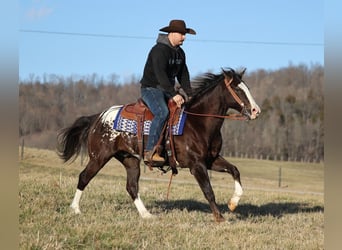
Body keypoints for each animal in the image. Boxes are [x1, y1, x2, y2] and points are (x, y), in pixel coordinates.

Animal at [56, 67, 260, 222]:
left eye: (247, 88)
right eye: (238, 89)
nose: (256, 110)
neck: (198, 122)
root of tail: (98, 117)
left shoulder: (211, 160)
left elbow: (235, 170)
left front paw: (233, 203)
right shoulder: (197, 165)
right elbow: (208, 190)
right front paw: (219, 217)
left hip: (130, 160)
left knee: (131, 187)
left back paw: (146, 215)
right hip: (99, 157)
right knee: (84, 177)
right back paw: (75, 209)